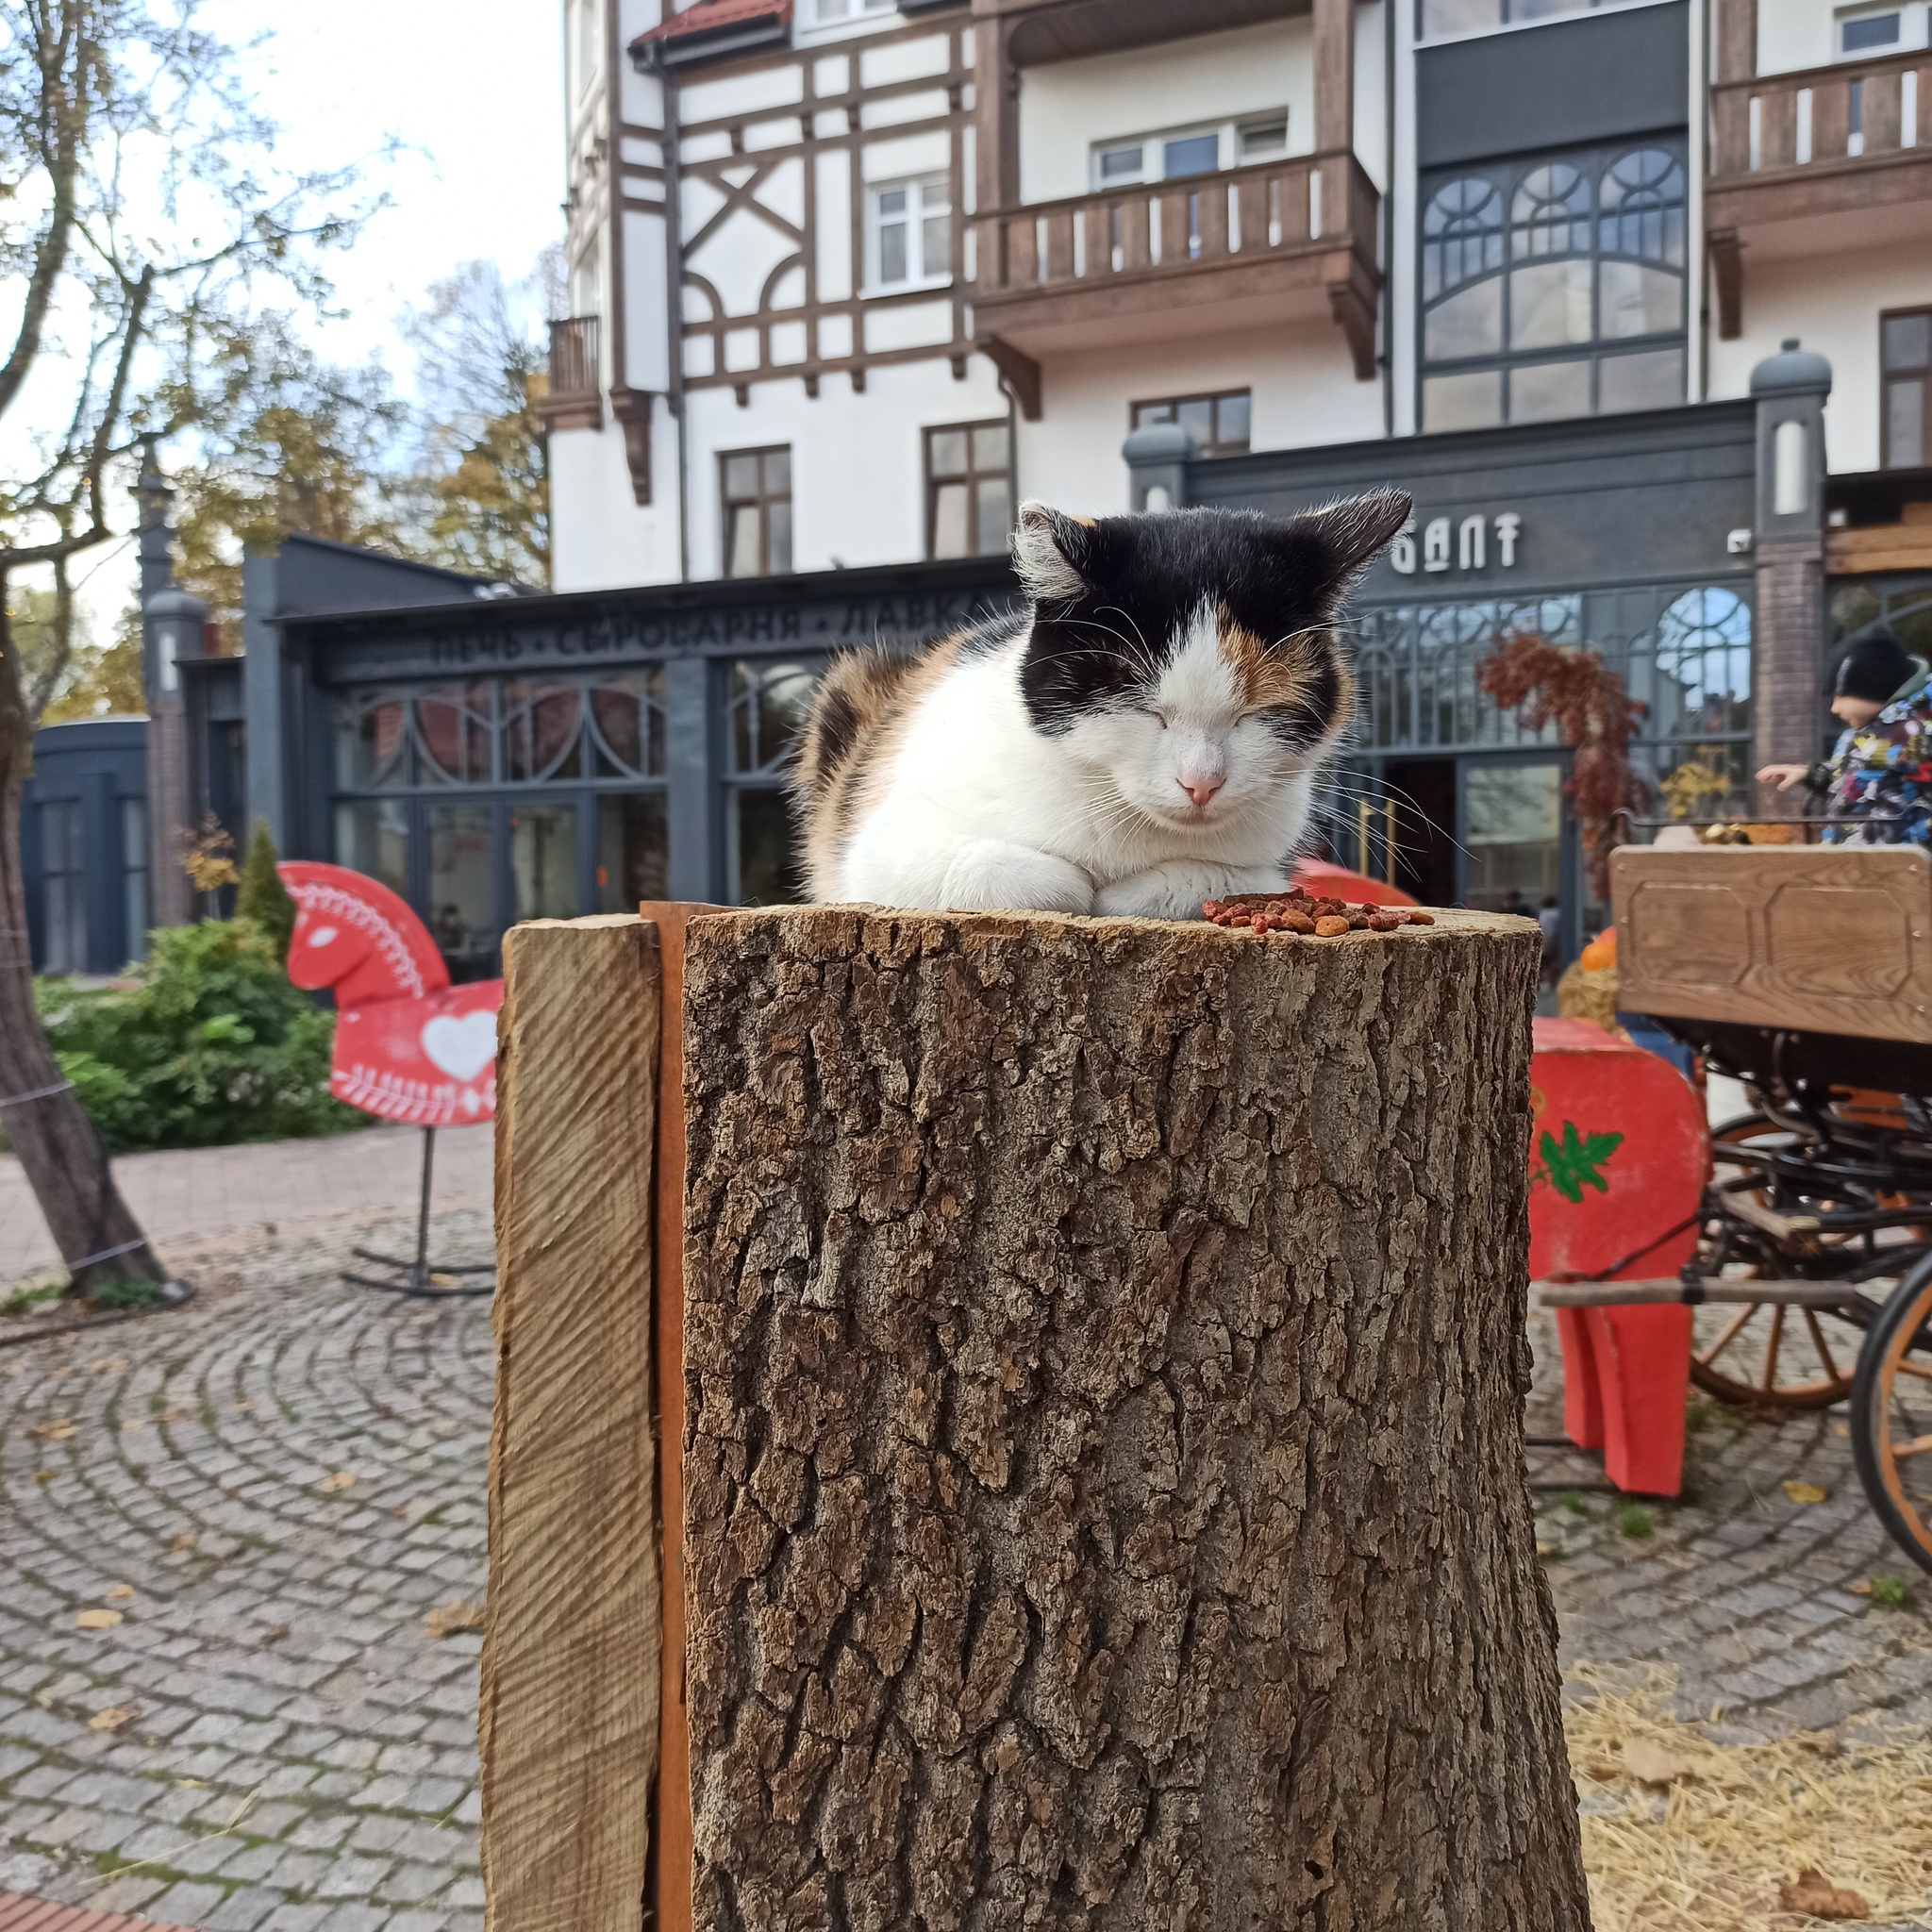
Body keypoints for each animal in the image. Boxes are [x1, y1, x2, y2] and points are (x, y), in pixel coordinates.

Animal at [791, 494, 1414, 923]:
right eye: (1142, 706)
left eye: (1255, 711)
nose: (1202, 784)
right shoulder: (880, 848)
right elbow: (1031, 876)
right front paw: (1075, 885)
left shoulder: (1275, 865)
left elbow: (1226, 879)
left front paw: (1129, 892)